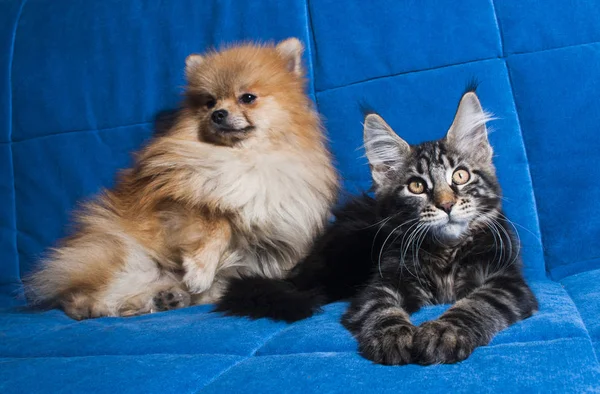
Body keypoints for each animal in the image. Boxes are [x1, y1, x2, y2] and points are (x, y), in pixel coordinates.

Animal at [27, 37, 338, 320]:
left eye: (247, 98)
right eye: (209, 102)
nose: (218, 113)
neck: (244, 159)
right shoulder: (177, 205)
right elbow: (218, 223)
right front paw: (200, 272)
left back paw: (164, 299)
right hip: (120, 253)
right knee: (80, 300)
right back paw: (117, 306)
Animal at [217, 90, 540, 366]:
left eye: (460, 176)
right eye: (416, 186)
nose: (447, 205)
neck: (446, 253)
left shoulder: (506, 281)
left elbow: (475, 303)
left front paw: (444, 331)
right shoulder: (382, 282)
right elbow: (381, 308)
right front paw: (392, 335)